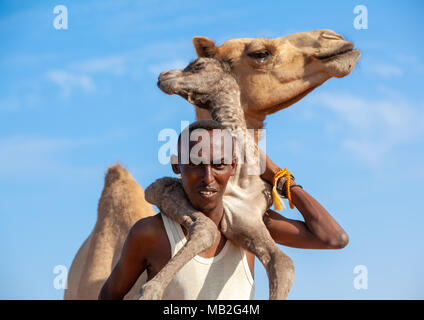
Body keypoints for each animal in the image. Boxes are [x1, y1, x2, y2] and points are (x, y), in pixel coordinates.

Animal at [141, 56, 294, 298]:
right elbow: (207, 228)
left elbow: (283, 263)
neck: (243, 177)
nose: (163, 76)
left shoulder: (250, 219)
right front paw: (150, 290)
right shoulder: (160, 187)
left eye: (198, 65)